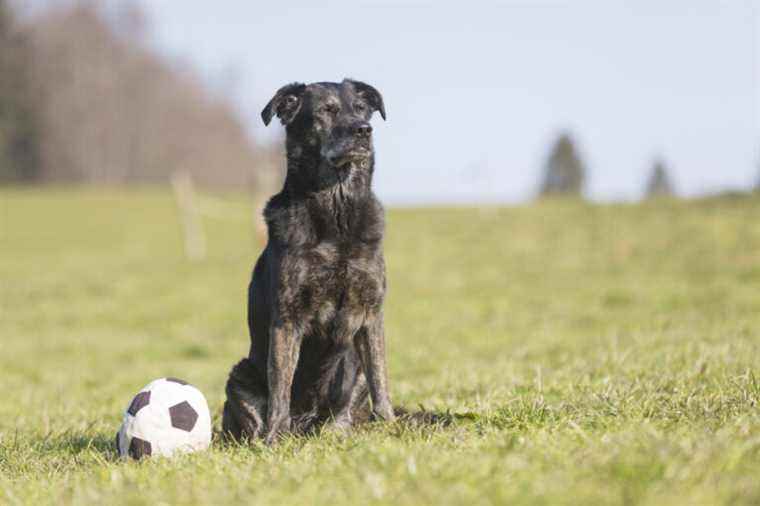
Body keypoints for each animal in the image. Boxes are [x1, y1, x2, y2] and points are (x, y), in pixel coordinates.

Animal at [223, 77, 394, 444]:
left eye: (361, 109)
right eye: (327, 111)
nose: (364, 130)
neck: (336, 214)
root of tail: (307, 425)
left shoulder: (371, 312)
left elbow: (380, 377)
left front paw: (390, 425)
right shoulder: (287, 320)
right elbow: (280, 388)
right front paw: (274, 437)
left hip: (351, 372)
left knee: (345, 409)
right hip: (239, 375)